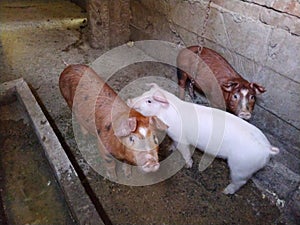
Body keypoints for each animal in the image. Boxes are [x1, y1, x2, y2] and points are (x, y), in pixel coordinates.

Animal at [127, 83, 280, 194]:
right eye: (144, 94)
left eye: (149, 101)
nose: (129, 100)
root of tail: (267, 149)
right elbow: (175, 144)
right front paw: (171, 148)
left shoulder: (182, 137)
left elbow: (185, 151)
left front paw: (188, 165)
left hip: (241, 166)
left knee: (240, 181)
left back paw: (225, 191)